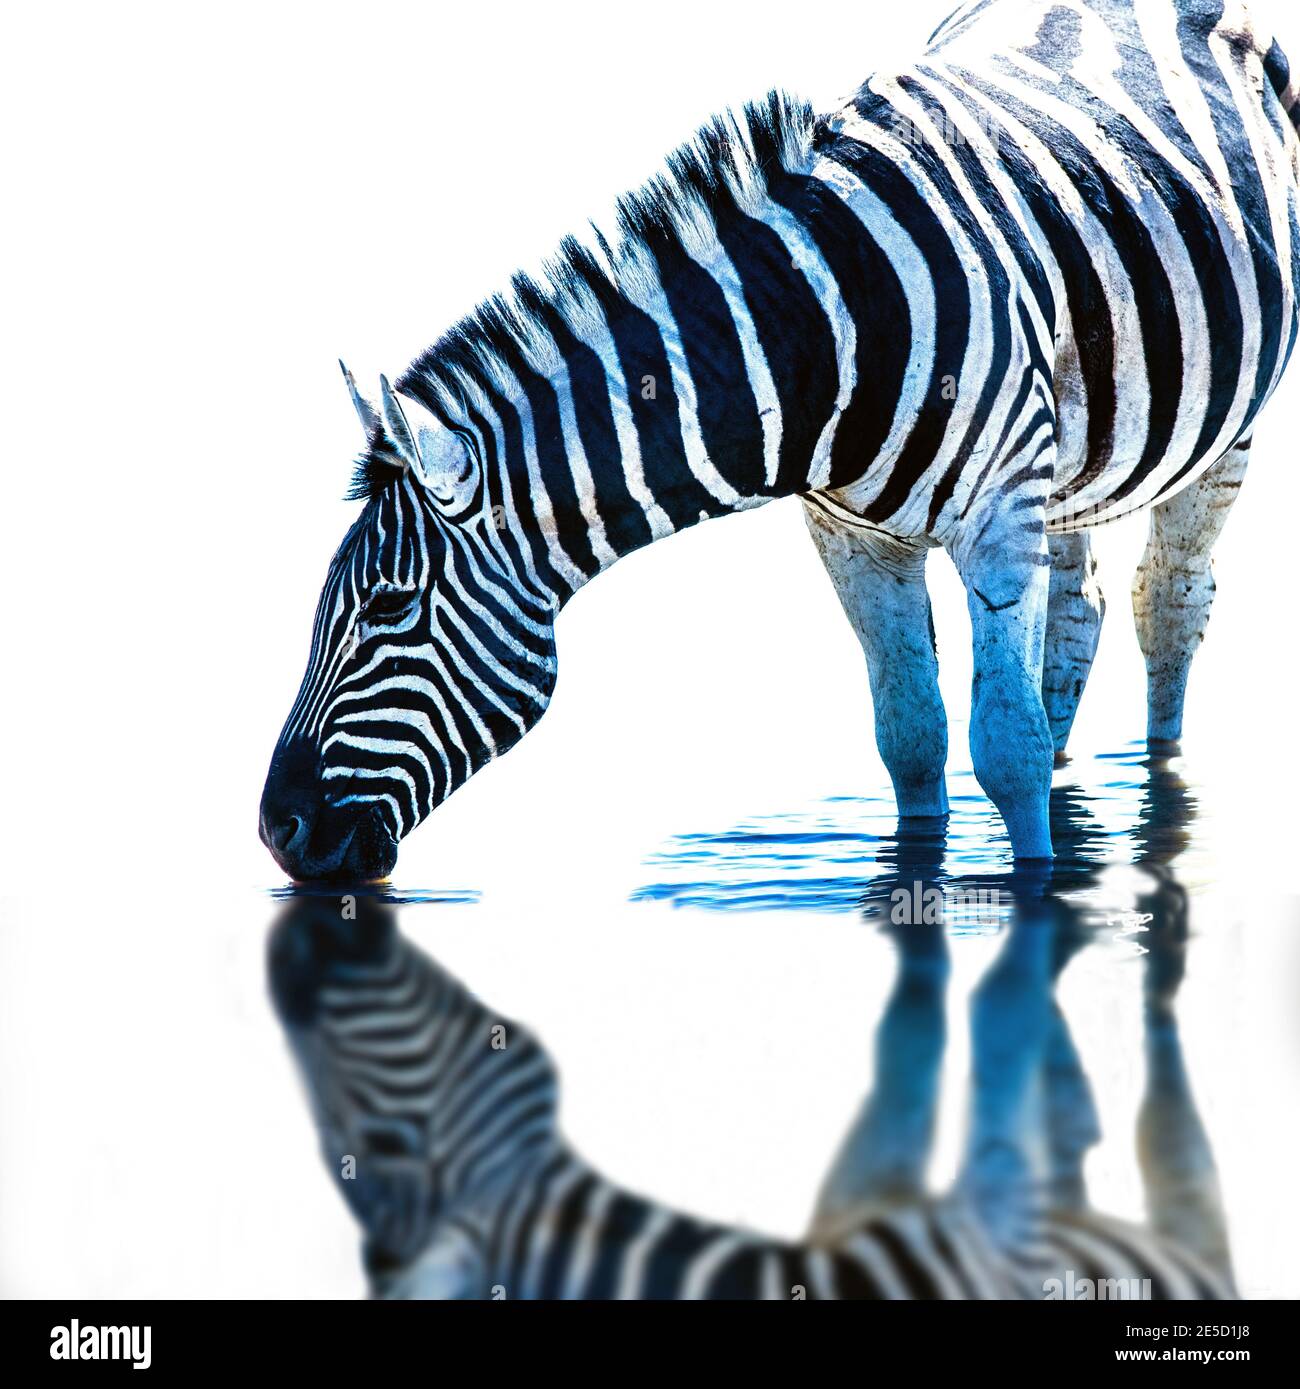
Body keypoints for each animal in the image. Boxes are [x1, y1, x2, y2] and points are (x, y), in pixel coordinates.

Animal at [260, 0, 1300, 879]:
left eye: (389, 608)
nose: (279, 830)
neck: (824, 331)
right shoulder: (853, 536)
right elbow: (911, 737)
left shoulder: (1000, 518)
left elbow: (1003, 748)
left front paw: (1034, 889)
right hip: (1076, 454)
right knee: (1079, 610)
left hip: (1226, 434)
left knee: (1169, 603)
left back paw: (1160, 778)